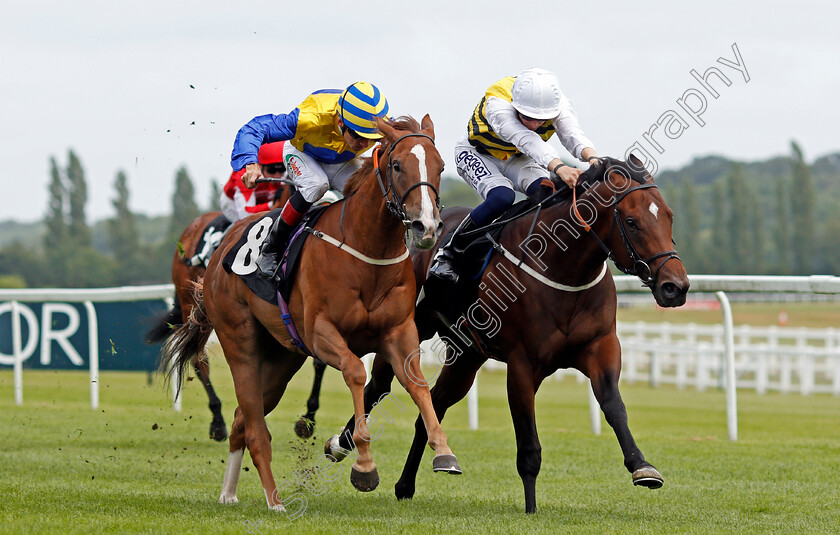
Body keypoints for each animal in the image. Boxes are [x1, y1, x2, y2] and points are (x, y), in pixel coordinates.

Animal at [158, 115, 460, 512]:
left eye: (440, 166)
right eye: (397, 165)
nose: (426, 225)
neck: (366, 251)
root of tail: (221, 248)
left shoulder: (398, 332)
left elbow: (418, 384)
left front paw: (444, 452)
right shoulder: (321, 333)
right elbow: (355, 373)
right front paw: (364, 464)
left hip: (282, 358)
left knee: (244, 418)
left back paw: (229, 492)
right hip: (239, 340)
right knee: (250, 421)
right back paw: (273, 500)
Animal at [324, 156, 684, 516]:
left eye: (669, 215)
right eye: (632, 222)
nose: (675, 286)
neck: (563, 267)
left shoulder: (601, 346)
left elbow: (613, 404)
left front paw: (642, 466)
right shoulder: (523, 363)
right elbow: (528, 444)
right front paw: (531, 507)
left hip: (467, 356)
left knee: (433, 404)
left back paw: (410, 482)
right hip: (404, 331)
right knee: (379, 386)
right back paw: (341, 444)